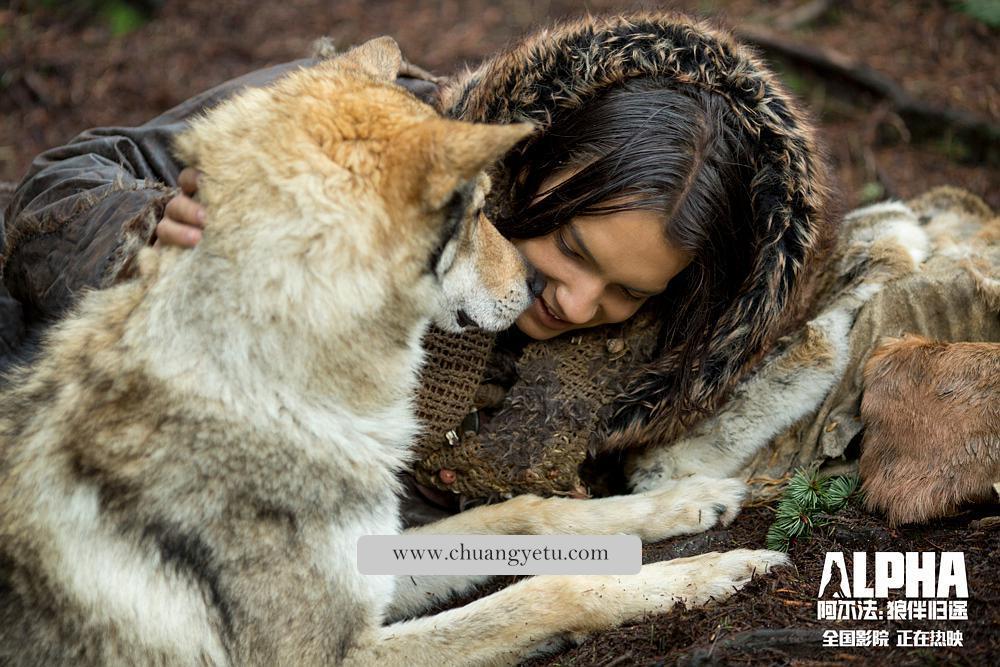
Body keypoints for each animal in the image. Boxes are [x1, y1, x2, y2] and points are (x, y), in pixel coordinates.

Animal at [0, 37, 780, 667]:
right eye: (475, 212)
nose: (535, 284)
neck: (270, 384)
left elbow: (525, 512)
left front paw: (691, 503)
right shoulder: (333, 652)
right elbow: (543, 593)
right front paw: (711, 574)